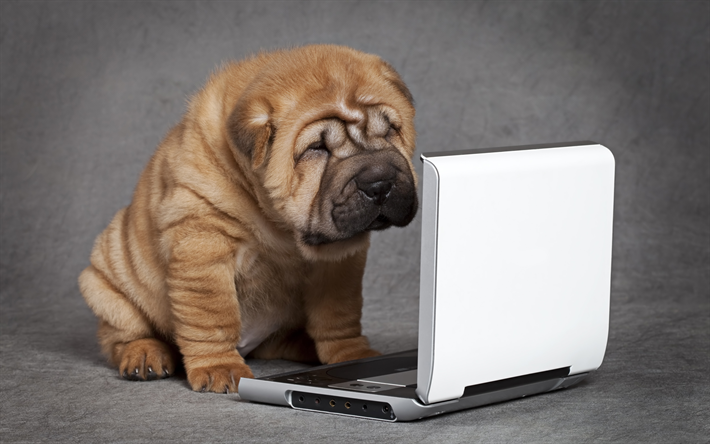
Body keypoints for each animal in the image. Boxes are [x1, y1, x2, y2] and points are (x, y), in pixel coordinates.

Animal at [78, 45, 420, 392]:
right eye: (317, 148)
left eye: (390, 130)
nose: (379, 183)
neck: (279, 227)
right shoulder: (204, 244)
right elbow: (212, 315)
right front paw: (219, 367)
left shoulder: (339, 262)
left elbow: (339, 313)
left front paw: (352, 356)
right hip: (106, 280)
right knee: (122, 335)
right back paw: (145, 354)